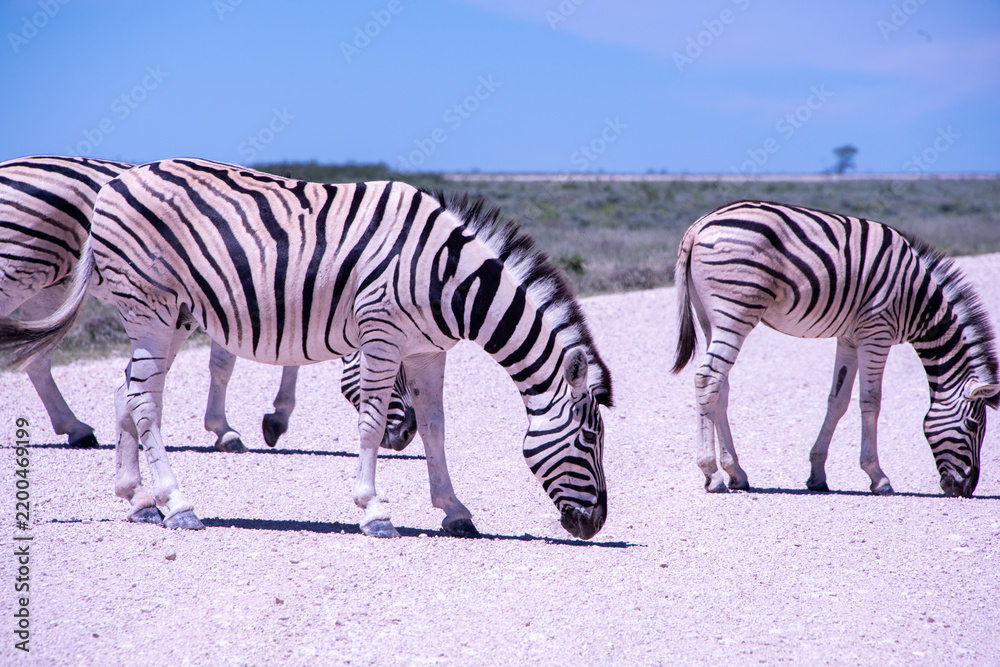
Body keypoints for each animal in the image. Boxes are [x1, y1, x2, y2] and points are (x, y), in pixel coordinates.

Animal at [0, 155, 415, 452]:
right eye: (398, 370)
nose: (408, 433)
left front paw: (273, 419)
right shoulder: (240, 297)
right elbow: (224, 365)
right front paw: (228, 430)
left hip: (51, 285)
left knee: (37, 358)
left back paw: (76, 428)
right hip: (19, 269)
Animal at [672, 200, 998, 497]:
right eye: (973, 424)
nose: (965, 490)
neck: (919, 302)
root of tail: (699, 225)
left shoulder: (850, 338)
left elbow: (837, 401)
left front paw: (817, 475)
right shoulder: (876, 332)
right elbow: (871, 401)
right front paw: (878, 477)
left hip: (710, 318)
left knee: (721, 387)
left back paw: (736, 473)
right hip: (736, 310)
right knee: (707, 378)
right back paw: (712, 474)